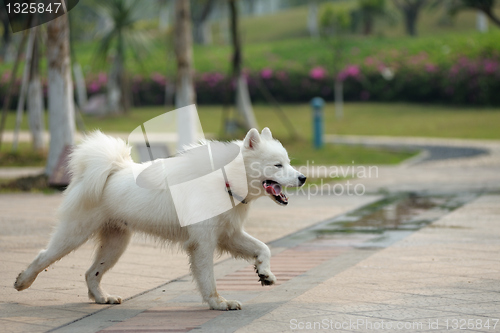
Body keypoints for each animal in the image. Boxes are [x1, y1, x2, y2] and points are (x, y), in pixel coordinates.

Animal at [14, 126, 304, 308]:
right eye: (278, 165)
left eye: (289, 162)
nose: (303, 177)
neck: (225, 179)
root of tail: (110, 169)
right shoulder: (203, 243)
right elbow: (208, 278)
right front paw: (219, 303)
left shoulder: (228, 236)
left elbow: (263, 248)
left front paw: (265, 273)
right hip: (74, 235)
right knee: (43, 256)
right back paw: (22, 281)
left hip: (115, 244)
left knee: (90, 273)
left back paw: (102, 298)